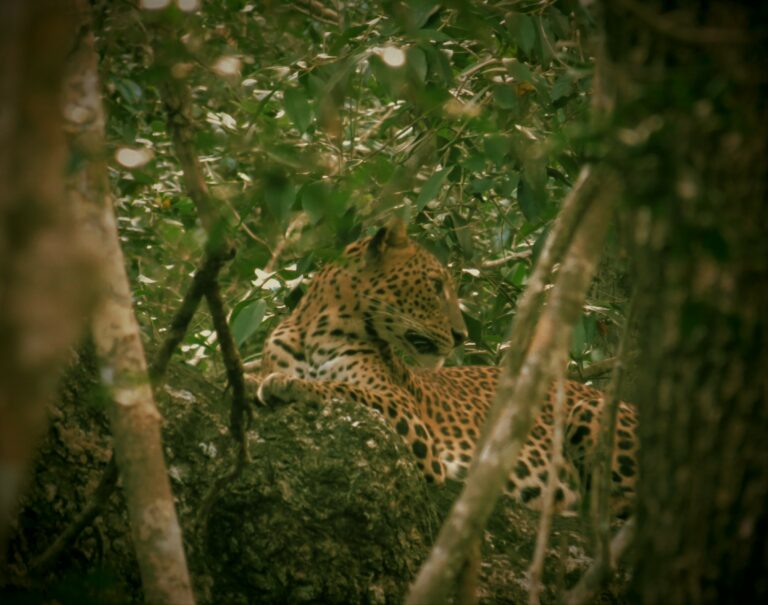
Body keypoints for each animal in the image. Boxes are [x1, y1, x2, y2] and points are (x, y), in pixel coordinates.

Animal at [255, 218, 640, 516]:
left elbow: (345, 389)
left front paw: (288, 385)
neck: (317, 332)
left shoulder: (407, 417)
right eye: (436, 285)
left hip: (590, 410)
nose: (461, 336)